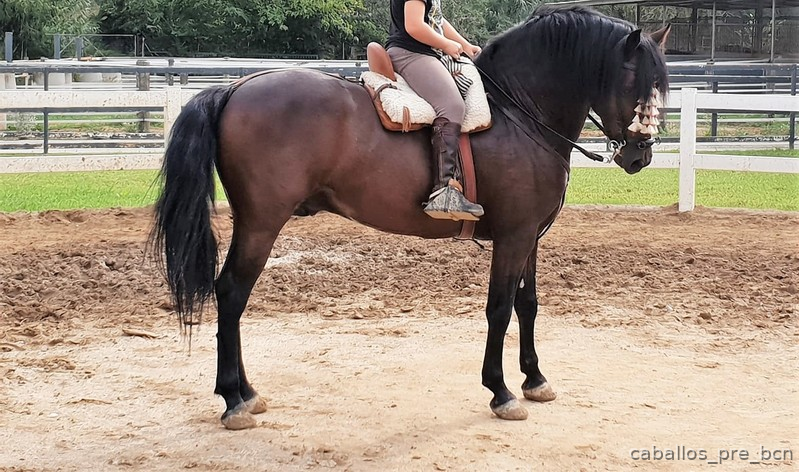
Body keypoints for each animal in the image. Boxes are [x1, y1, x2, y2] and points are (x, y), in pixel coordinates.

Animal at [150, 5, 670, 430]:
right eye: (633, 80)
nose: (640, 155)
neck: (519, 111)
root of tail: (236, 86)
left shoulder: (531, 237)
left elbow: (528, 304)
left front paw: (535, 379)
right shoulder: (513, 237)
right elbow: (499, 308)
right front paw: (501, 392)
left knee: (232, 296)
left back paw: (245, 393)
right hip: (262, 222)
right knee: (231, 292)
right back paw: (234, 400)